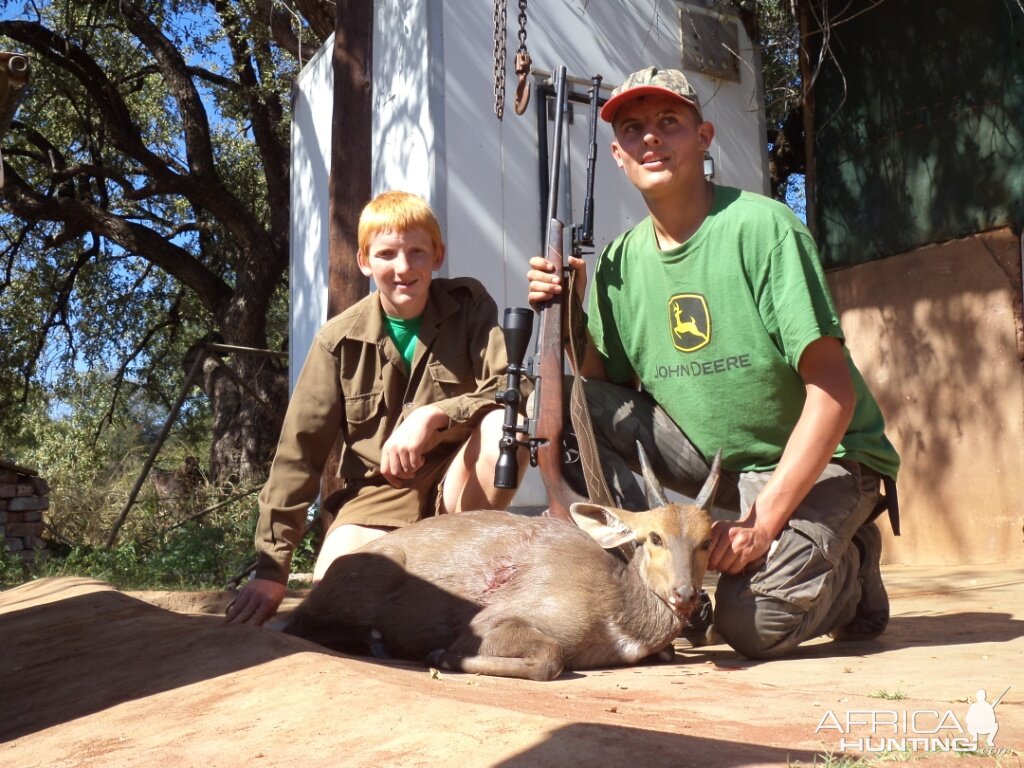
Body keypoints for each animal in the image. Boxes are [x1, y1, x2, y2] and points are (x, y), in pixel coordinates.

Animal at [282, 448, 720, 684]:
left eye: (707, 540)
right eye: (653, 537)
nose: (687, 594)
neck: (619, 617)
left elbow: (669, 654)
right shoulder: (499, 617)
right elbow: (550, 658)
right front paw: (441, 655)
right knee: (297, 622)